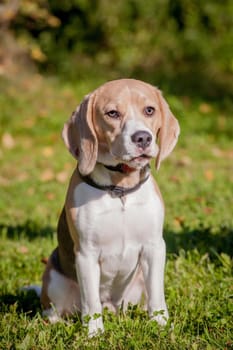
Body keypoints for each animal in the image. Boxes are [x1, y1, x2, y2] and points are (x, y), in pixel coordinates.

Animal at [40, 79, 179, 336]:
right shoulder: (86, 253)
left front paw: (161, 324)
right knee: (55, 312)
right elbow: (91, 302)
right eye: (112, 113)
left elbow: (157, 293)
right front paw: (94, 333)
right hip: (54, 278)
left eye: (149, 110)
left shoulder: (154, 247)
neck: (120, 190)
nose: (142, 138)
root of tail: (111, 305)